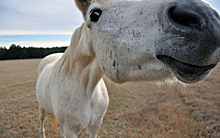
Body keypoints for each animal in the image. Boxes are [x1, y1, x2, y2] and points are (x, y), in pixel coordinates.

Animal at [35, 0, 220, 137]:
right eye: (94, 14)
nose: (207, 17)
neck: (87, 90)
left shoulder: (96, 124)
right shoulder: (71, 131)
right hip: (42, 109)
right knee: (42, 121)